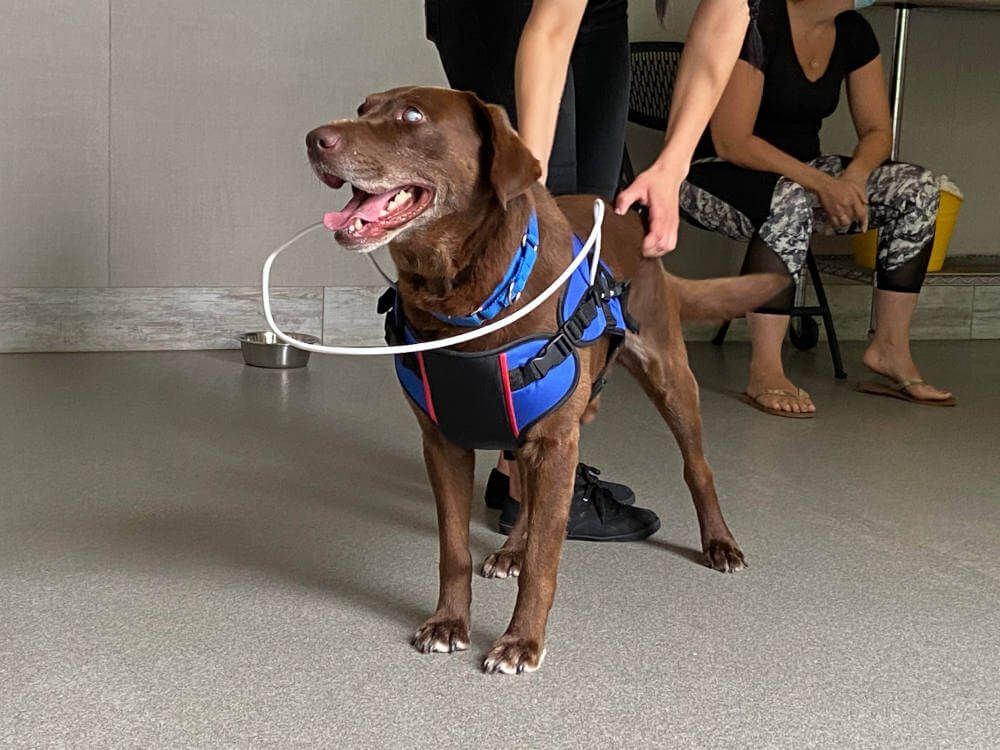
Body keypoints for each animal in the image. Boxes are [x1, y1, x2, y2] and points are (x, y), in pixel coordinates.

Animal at [304, 86, 788, 676]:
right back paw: (512, 547)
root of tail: (631, 223)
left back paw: (719, 542)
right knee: (526, 496)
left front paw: (521, 640)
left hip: (669, 378)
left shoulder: (556, 440)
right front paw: (448, 622)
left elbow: (545, 559)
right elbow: (454, 548)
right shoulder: (443, 441)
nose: (315, 139)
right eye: (362, 109)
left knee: (697, 467)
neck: (464, 298)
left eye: (411, 116)